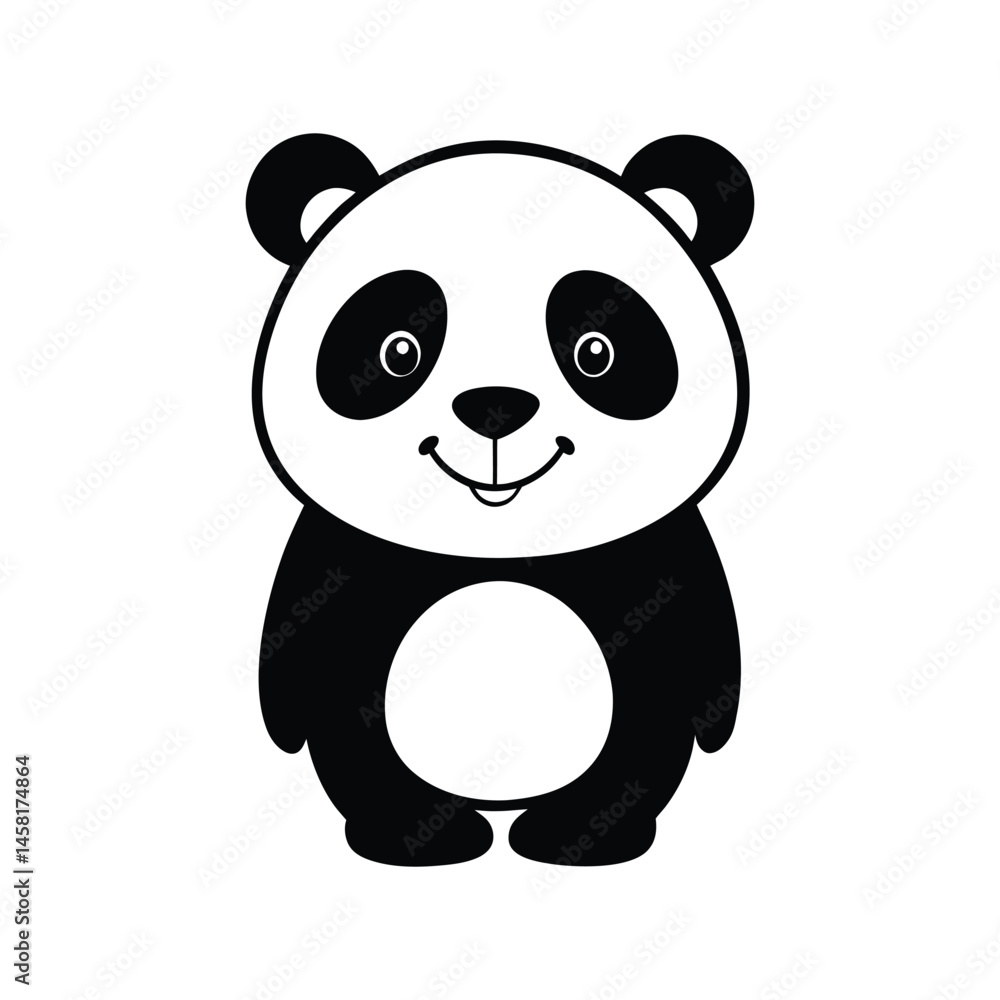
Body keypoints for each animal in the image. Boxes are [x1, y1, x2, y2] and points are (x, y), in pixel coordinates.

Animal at [245, 133, 753, 866]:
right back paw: (421, 836)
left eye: (596, 349)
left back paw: (575, 834)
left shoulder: (660, 559)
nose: (495, 406)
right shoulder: (339, 562)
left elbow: (701, 655)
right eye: (398, 350)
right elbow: (296, 663)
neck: (500, 547)